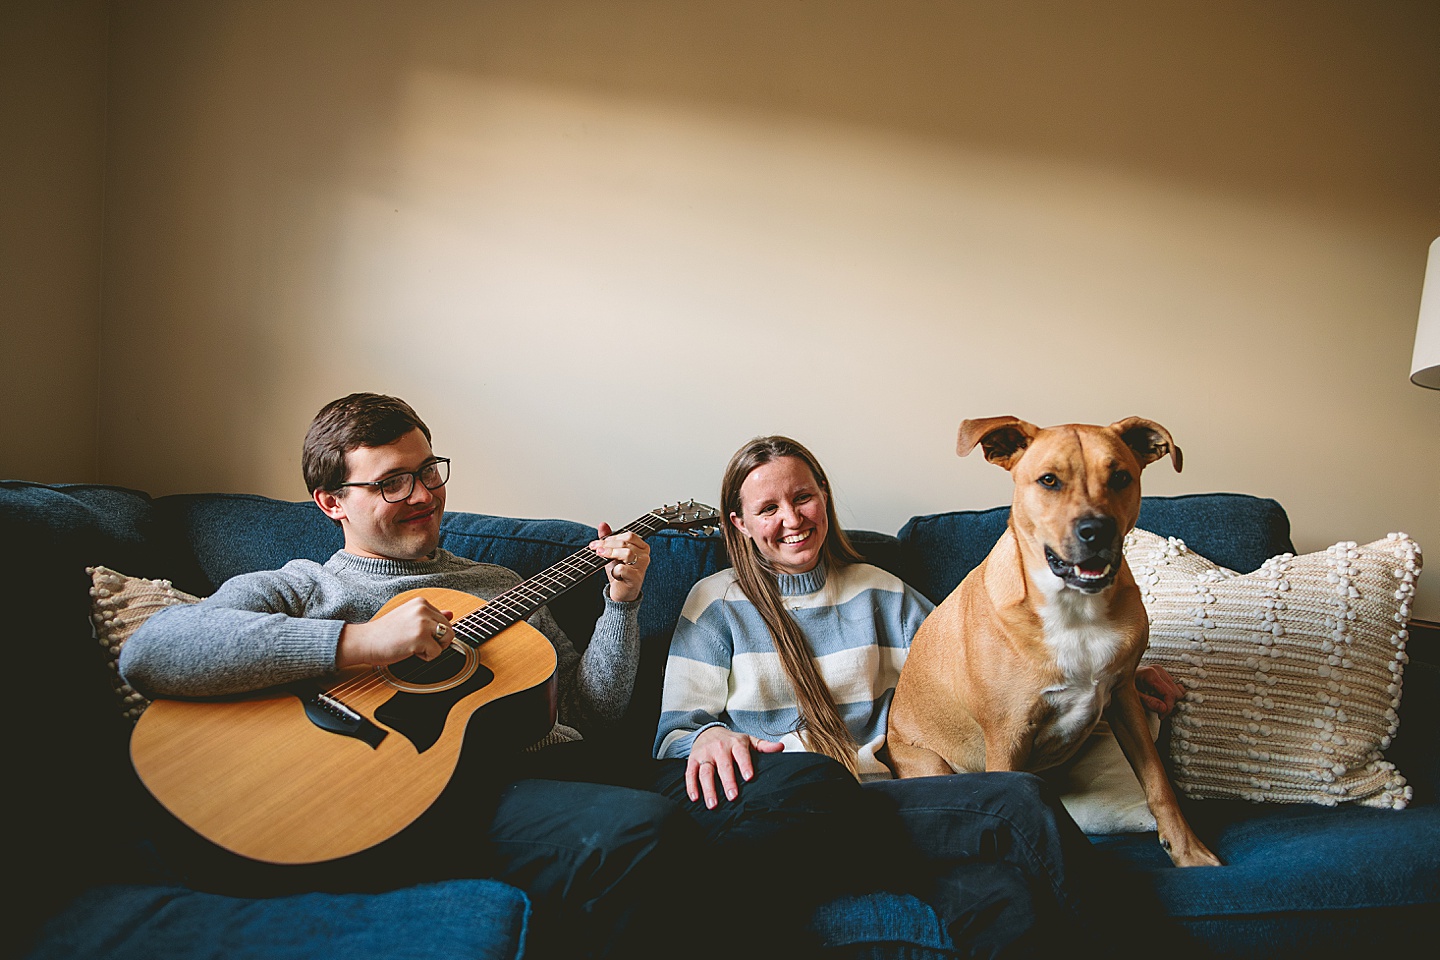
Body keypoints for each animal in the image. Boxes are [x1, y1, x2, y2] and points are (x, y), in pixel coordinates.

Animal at [887, 417, 1215, 869]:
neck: (1074, 610)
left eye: (1120, 477)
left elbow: (1158, 784)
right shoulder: (1007, 736)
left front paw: (1188, 850)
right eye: (1049, 480)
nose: (1097, 530)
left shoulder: (1125, 698)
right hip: (930, 764)